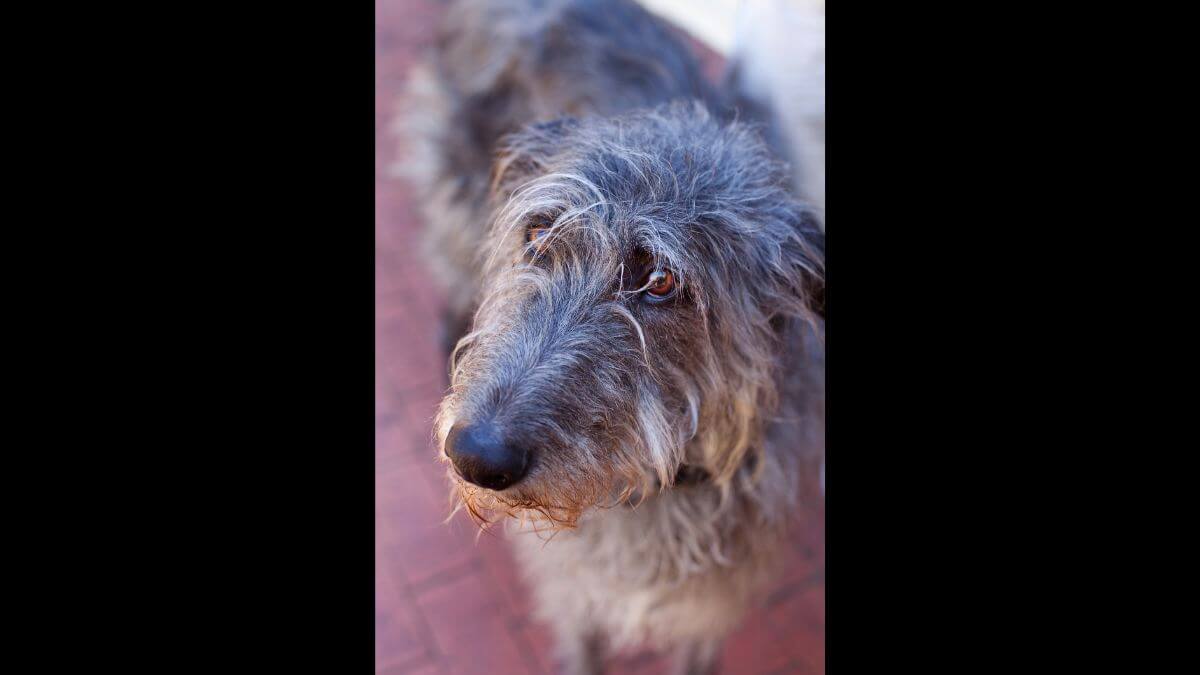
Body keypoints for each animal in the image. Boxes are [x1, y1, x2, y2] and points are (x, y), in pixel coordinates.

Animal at [403, 1, 825, 672]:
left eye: (660, 280)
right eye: (538, 235)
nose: (473, 455)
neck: (660, 484)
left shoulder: (708, 608)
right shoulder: (574, 589)